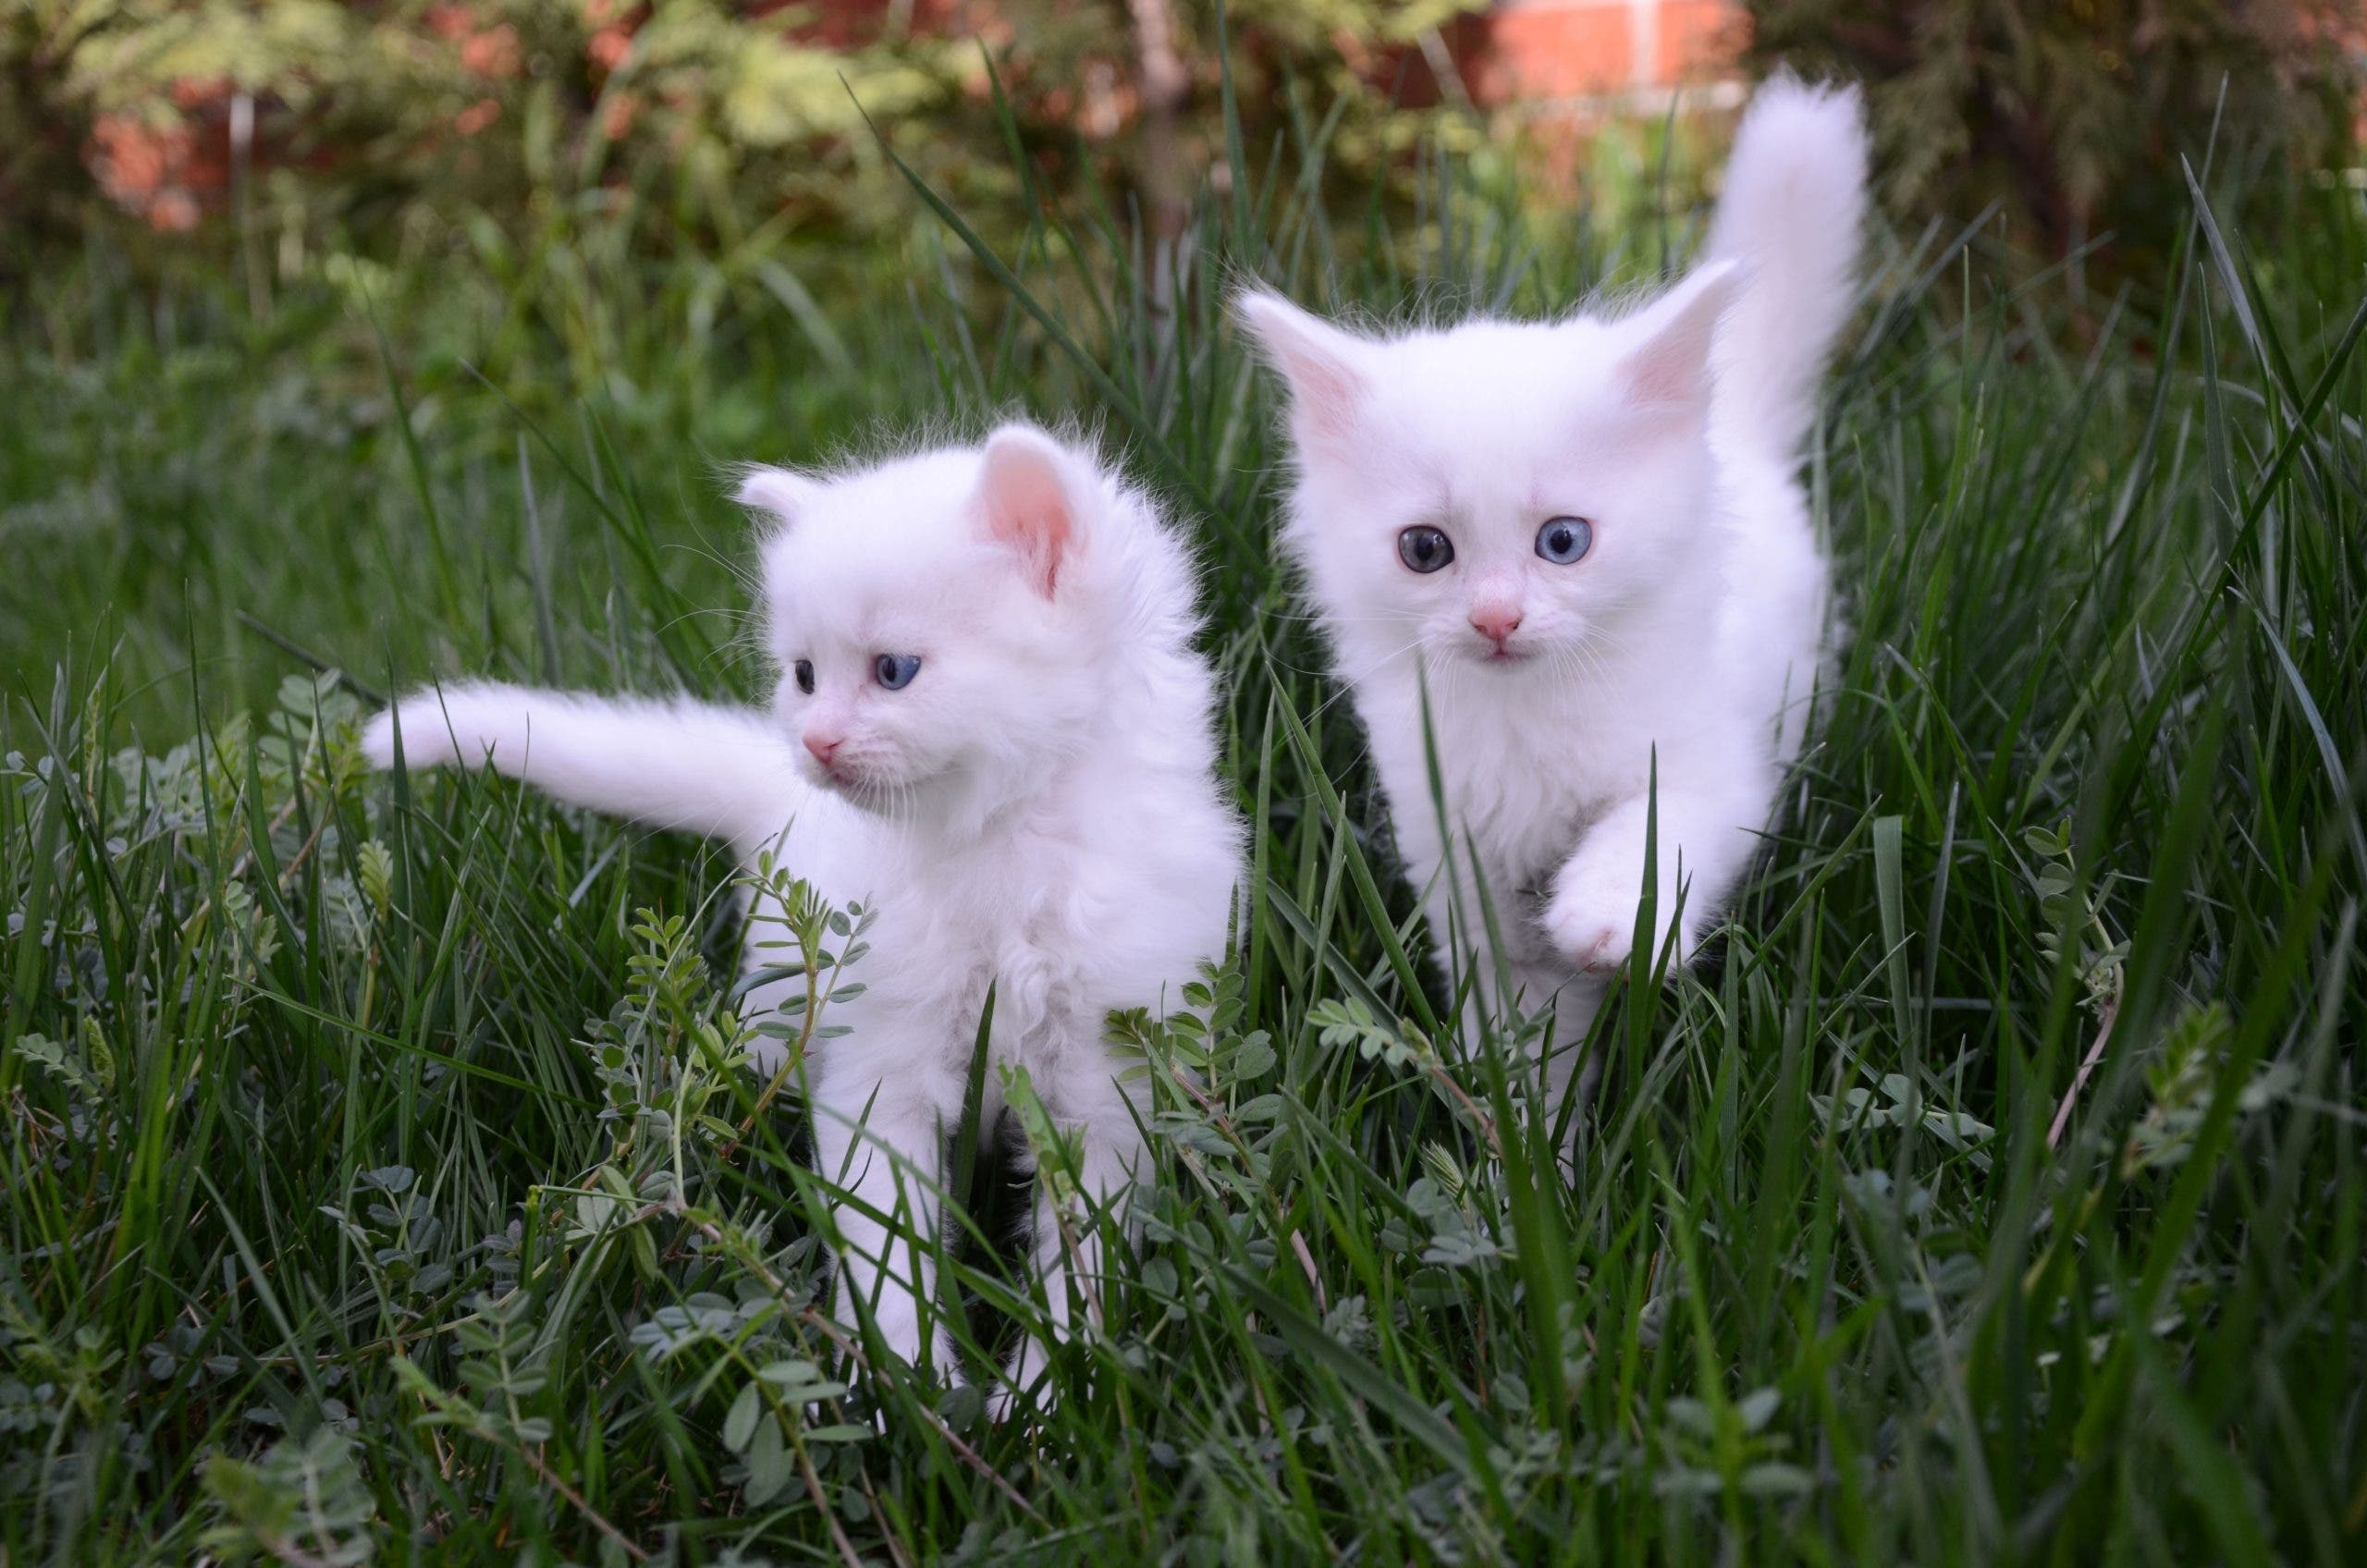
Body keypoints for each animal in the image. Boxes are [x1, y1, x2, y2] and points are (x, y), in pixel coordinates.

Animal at [362, 423, 1249, 1402]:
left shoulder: (1110, 1082)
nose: (814, 741)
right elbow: (885, 1245)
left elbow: (1081, 1273)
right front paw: (907, 1387)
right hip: (777, 1011)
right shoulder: (883, 1067)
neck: (996, 847)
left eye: (893, 671)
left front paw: (1049, 1398)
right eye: (804, 675)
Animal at [1240, 77, 1865, 1132]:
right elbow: (1524, 1043)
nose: (1496, 619)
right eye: (1426, 550)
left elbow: (1657, 828)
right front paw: (1532, 1156)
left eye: (1562, 542)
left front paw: (1607, 914)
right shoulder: (1457, 858)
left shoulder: (1714, 762)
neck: (1525, 722)